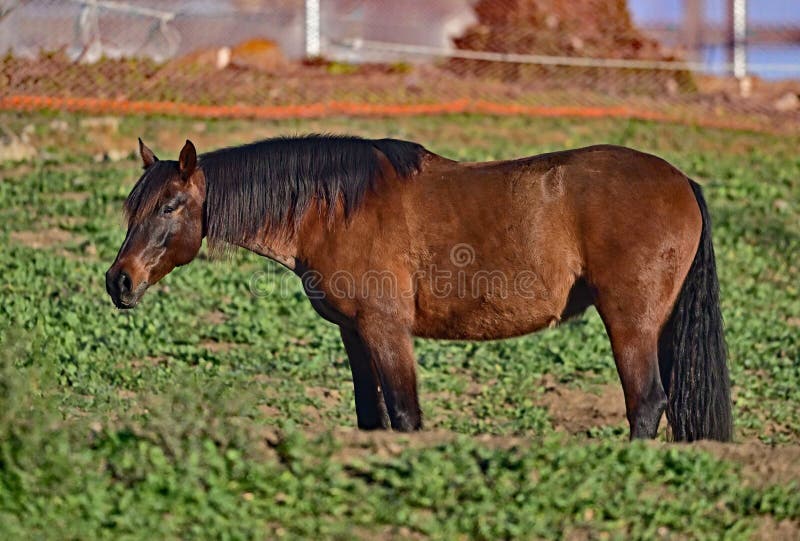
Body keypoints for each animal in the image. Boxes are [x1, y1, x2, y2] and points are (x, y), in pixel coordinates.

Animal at [106, 135, 732, 441]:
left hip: (631, 322)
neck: (335, 206)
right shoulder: (356, 335)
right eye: (134, 204)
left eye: (170, 205)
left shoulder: (387, 331)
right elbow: (373, 417)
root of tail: (680, 180)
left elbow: (406, 416)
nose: (120, 281)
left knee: (646, 403)